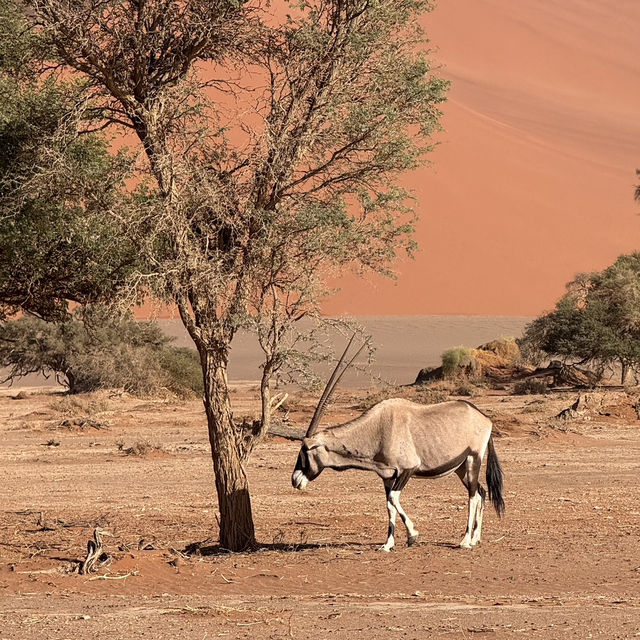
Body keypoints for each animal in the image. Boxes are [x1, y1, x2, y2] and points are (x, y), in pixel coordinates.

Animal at [292, 338, 504, 552]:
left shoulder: (407, 469)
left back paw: (466, 540)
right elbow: (389, 505)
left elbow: (394, 499)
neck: (377, 429)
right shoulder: (387, 475)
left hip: (473, 459)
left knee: (473, 495)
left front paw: (413, 535)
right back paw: (476, 538)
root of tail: (483, 417)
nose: (295, 480)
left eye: (305, 452)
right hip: (460, 468)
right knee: (481, 491)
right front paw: (388, 544)